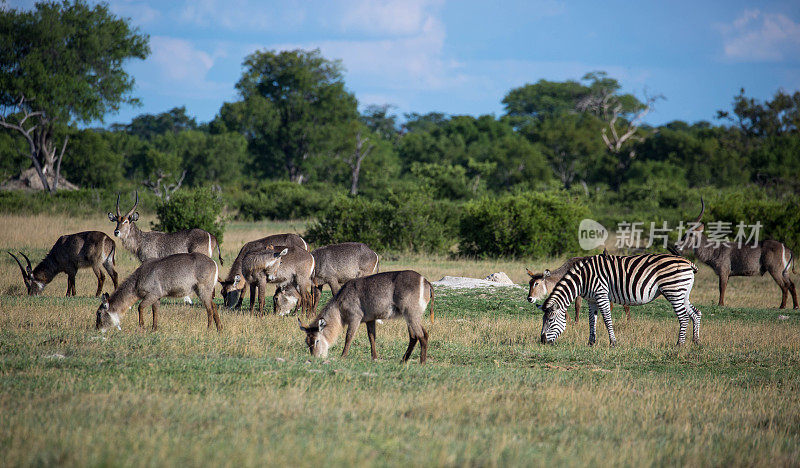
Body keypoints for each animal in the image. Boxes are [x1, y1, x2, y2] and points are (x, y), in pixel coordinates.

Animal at [300, 270, 434, 366]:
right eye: (307, 342)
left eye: (317, 340)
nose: (315, 358)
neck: (339, 304)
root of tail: (426, 282)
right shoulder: (370, 319)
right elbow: (372, 337)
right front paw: (374, 357)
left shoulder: (355, 317)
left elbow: (349, 336)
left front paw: (343, 356)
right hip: (412, 316)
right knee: (416, 336)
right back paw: (403, 360)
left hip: (411, 314)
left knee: (421, 335)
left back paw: (422, 363)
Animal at [536, 252, 700, 348]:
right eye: (543, 320)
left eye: (550, 320)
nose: (542, 341)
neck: (583, 279)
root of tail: (687, 262)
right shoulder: (591, 300)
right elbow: (591, 320)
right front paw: (591, 342)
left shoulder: (601, 294)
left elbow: (607, 319)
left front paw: (613, 342)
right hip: (682, 293)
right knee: (696, 313)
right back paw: (696, 341)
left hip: (673, 290)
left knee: (683, 317)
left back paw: (679, 344)